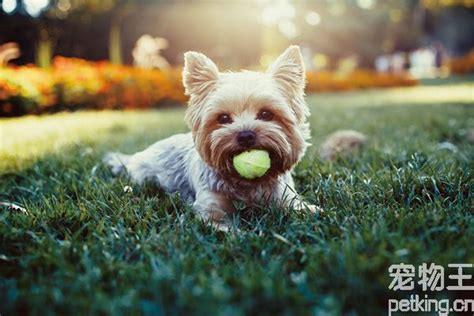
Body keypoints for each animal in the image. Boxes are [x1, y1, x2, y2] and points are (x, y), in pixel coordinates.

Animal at [103, 45, 318, 231]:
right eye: (223, 118)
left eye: (266, 114)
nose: (246, 135)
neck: (246, 183)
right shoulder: (210, 206)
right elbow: (219, 224)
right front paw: (238, 235)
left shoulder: (284, 196)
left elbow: (301, 208)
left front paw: (313, 211)